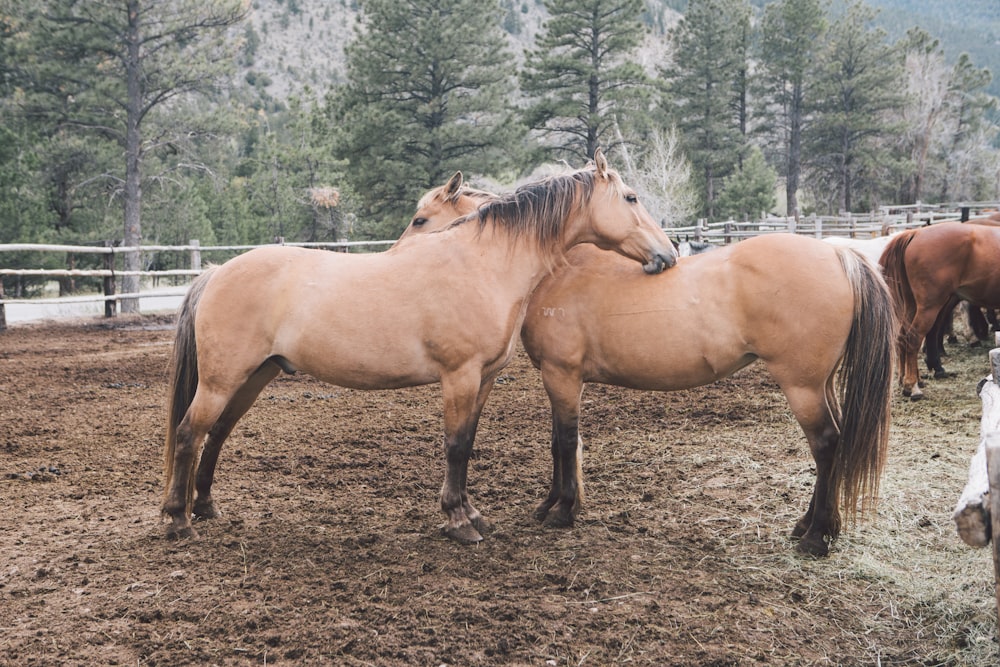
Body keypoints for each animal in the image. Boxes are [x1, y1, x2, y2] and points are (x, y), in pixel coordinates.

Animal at [162, 154, 680, 544]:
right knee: (189, 433)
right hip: (222, 380)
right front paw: (457, 521)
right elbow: (454, 446)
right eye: (631, 198)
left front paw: (471, 514)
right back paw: (178, 521)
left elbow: (467, 443)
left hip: (252, 377)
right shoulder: (459, 375)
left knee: (216, 434)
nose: (669, 254)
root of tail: (216, 272)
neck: (482, 263)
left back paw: (204, 506)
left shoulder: (483, 378)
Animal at [406, 209, 900, 560]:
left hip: (801, 386)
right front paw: (554, 505)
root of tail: (838, 254)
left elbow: (564, 442)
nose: (403, 265)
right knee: (835, 443)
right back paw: (814, 526)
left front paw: (562, 511)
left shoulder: (561, 374)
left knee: (827, 444)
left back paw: (815, 538)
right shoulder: (563, 379)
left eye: (421, 218)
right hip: (821, 384)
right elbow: (561, 443)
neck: (561, 271)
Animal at [880, 223, 1000, 402]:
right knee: (914, 338)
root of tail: (916, 233)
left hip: (913, 305)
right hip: (929, 306)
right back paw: (912, 387)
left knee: (903, 337)